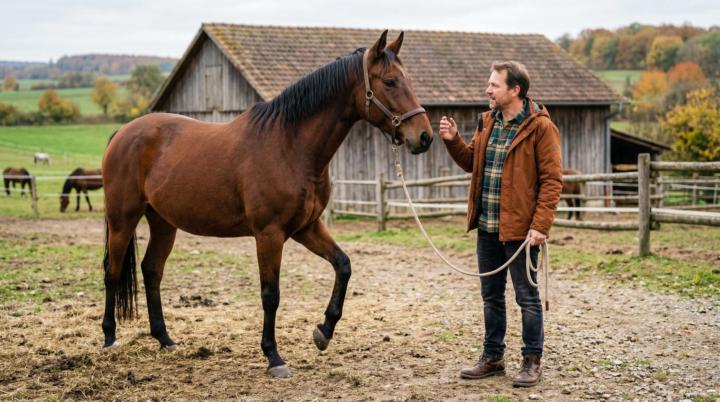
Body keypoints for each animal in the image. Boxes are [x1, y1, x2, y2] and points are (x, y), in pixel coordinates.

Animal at [101, 31, 433, 377]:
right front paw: (274, 356)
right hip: (123, 219)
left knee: (152, 270)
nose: (424, 137)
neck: (290, 145)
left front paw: (323, 332)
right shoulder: (268, 235)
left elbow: (343, 266)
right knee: (112, 271)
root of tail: (123, 132)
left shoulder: (307, 228)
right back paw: (110, 338)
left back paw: (165, 339)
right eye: (391, 82)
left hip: (164, 223)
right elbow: (270, 295)